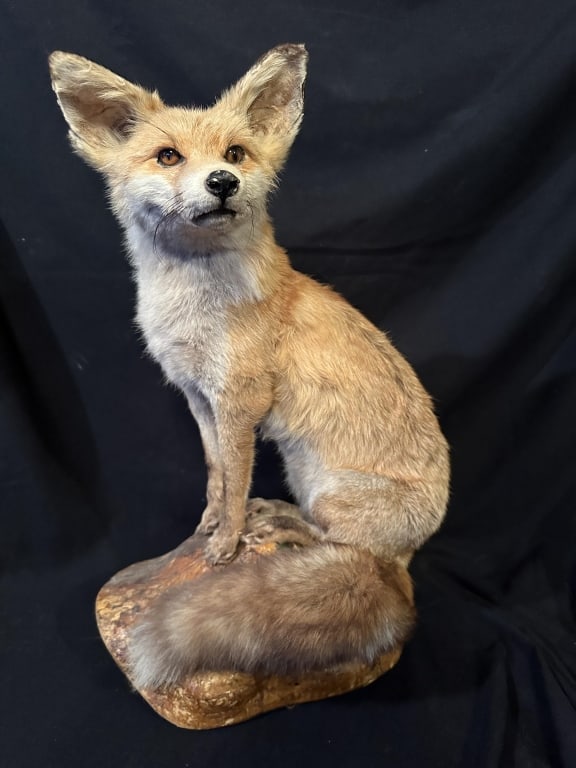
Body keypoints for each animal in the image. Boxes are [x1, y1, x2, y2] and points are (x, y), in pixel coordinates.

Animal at [49, 44, 450, 688]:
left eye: (235, 153)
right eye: (168, 156)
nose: (222, 181)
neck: (193, 312)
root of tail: (409, 559)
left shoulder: (242, 400)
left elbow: (237, 479)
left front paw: (225, 546)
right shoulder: (198, 395)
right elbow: (216, 472)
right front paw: (207, 527)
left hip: (331, 494)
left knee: (340, 546)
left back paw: (286, 527)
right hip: (305, 473)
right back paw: (280, 516)